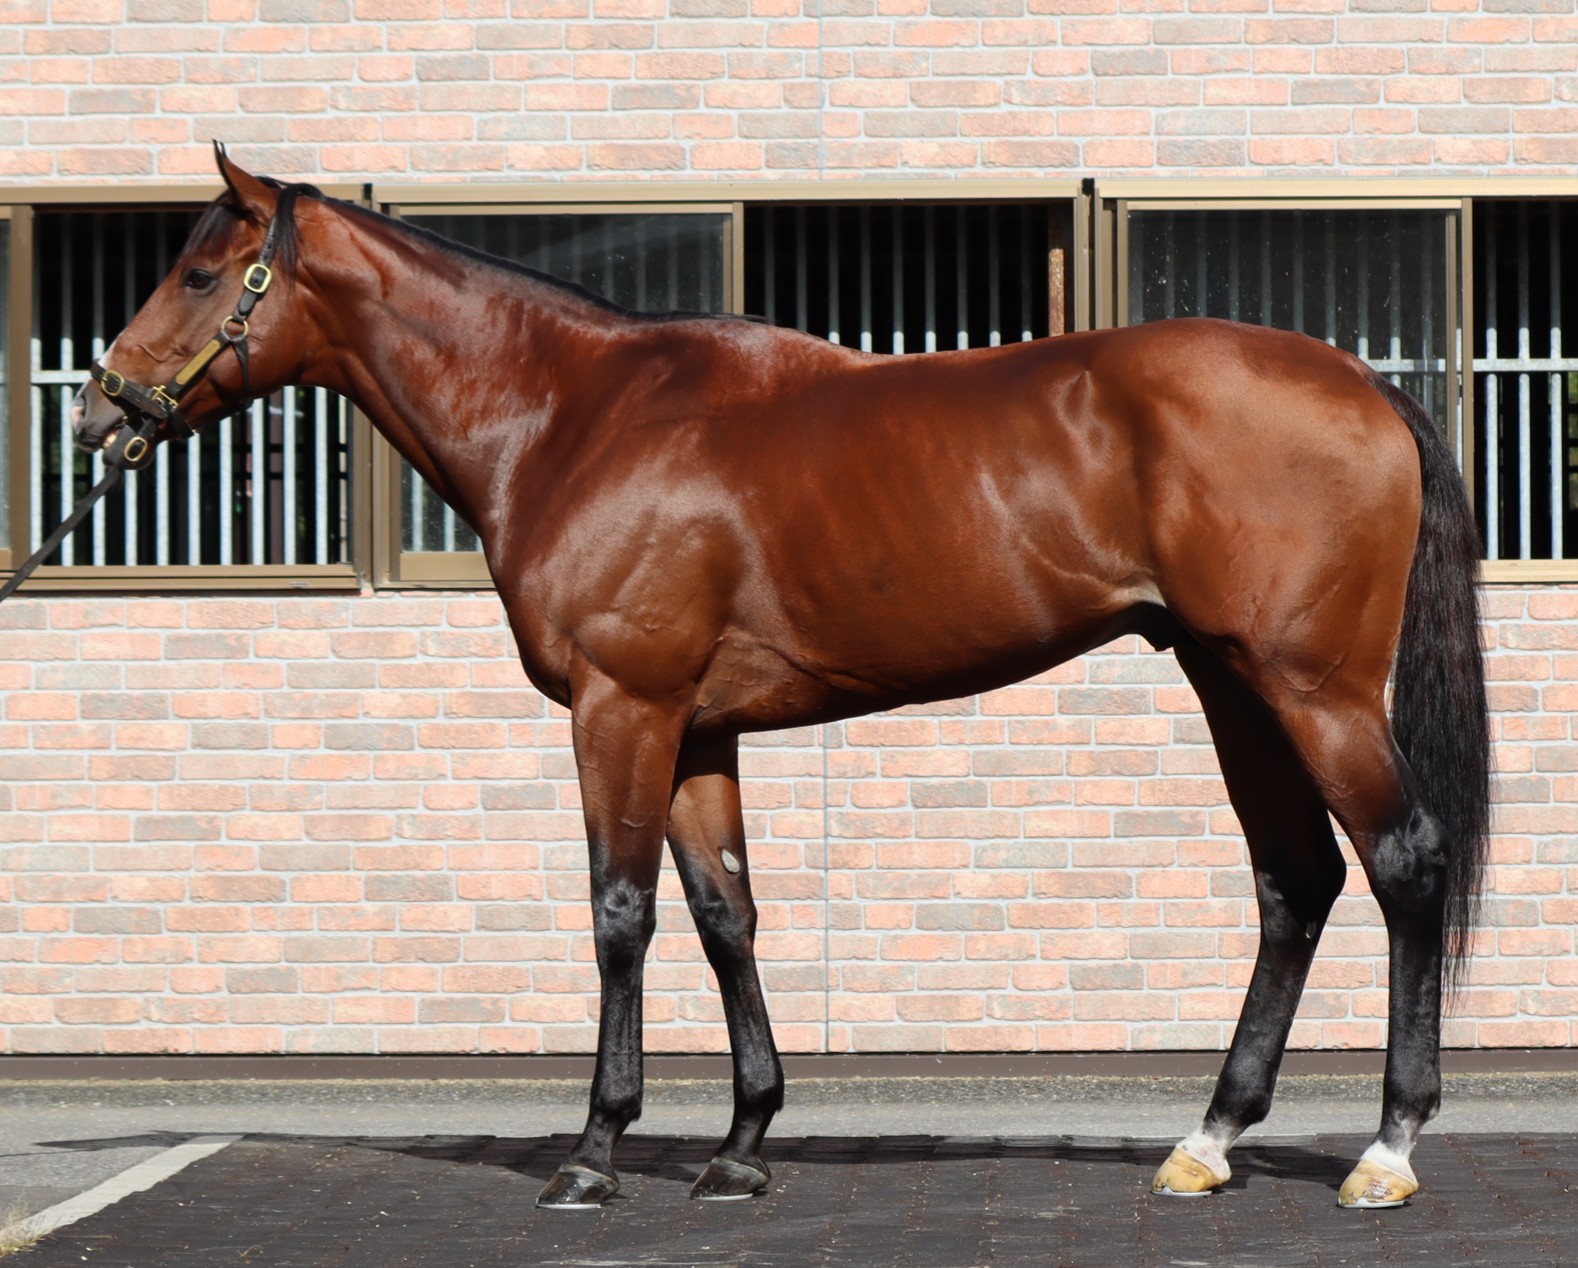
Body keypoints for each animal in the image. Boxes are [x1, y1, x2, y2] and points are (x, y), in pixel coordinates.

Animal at [69, 148, 1489, 1212]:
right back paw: (1208, 1138)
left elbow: (621, 915)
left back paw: (1387, 1148)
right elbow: (727, 914)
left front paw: (595, 1150)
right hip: (1228, 680)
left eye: (202, 271)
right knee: (1293, 878)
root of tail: (1365, 382)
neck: (574, 415)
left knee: (1401, 859)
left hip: (1312, 687)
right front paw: (743, 1142)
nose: (99, 412)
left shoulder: (623, 708)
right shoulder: (698, 729)